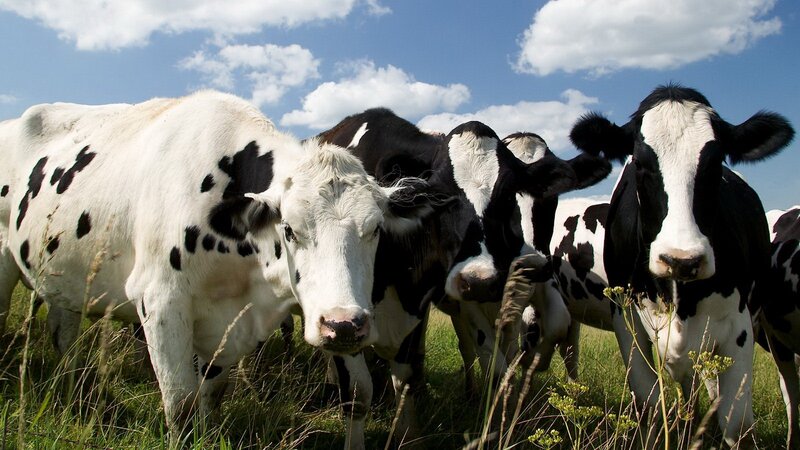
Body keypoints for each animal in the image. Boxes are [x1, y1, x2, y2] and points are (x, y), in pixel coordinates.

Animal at [0, 91, 437, 443]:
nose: (343, 325)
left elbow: (214, 393)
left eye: (375, 229)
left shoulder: (234, 321)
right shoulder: (160, 302)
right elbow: (181, 405)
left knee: (63, 334)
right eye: (289, 229)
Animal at [317, 109, 609, 446]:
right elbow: (358, 391)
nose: (480, 280)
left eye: (508, 193)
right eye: (441, 197)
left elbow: (414, 378)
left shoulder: (421, 308)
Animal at [570, 83, 795, 447]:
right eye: (640, 164)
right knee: (689, 391)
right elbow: (648, 406)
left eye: (716, 163)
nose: (681, 259)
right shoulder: (627, 322)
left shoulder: (739, 327)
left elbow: (738, 423)